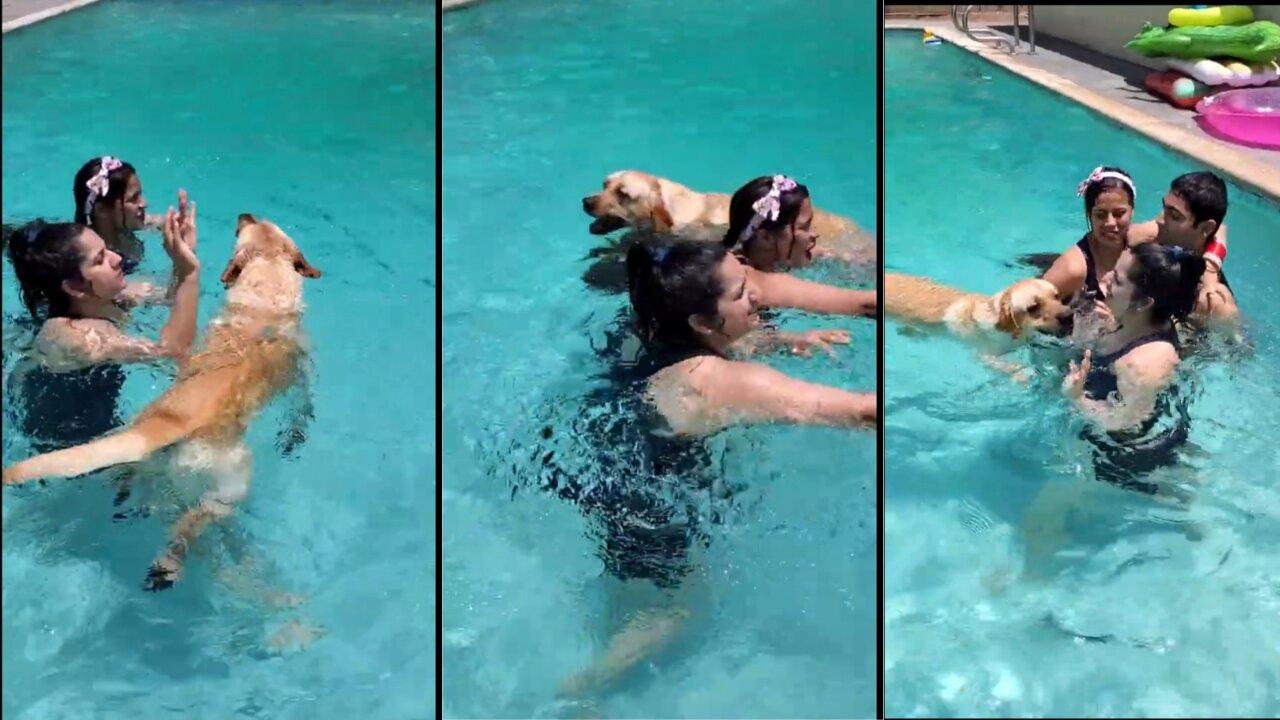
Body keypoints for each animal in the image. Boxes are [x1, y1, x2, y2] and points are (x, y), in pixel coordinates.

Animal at [3, 213, 320, 589]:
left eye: (258, 220)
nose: (244, 215)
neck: (267, 285)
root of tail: (165, 422)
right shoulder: (302, 367)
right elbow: (303, 403)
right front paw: (296, 432)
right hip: (231, 484)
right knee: (194, 520)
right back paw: (168, 562)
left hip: (145, 454)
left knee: (137, 478)